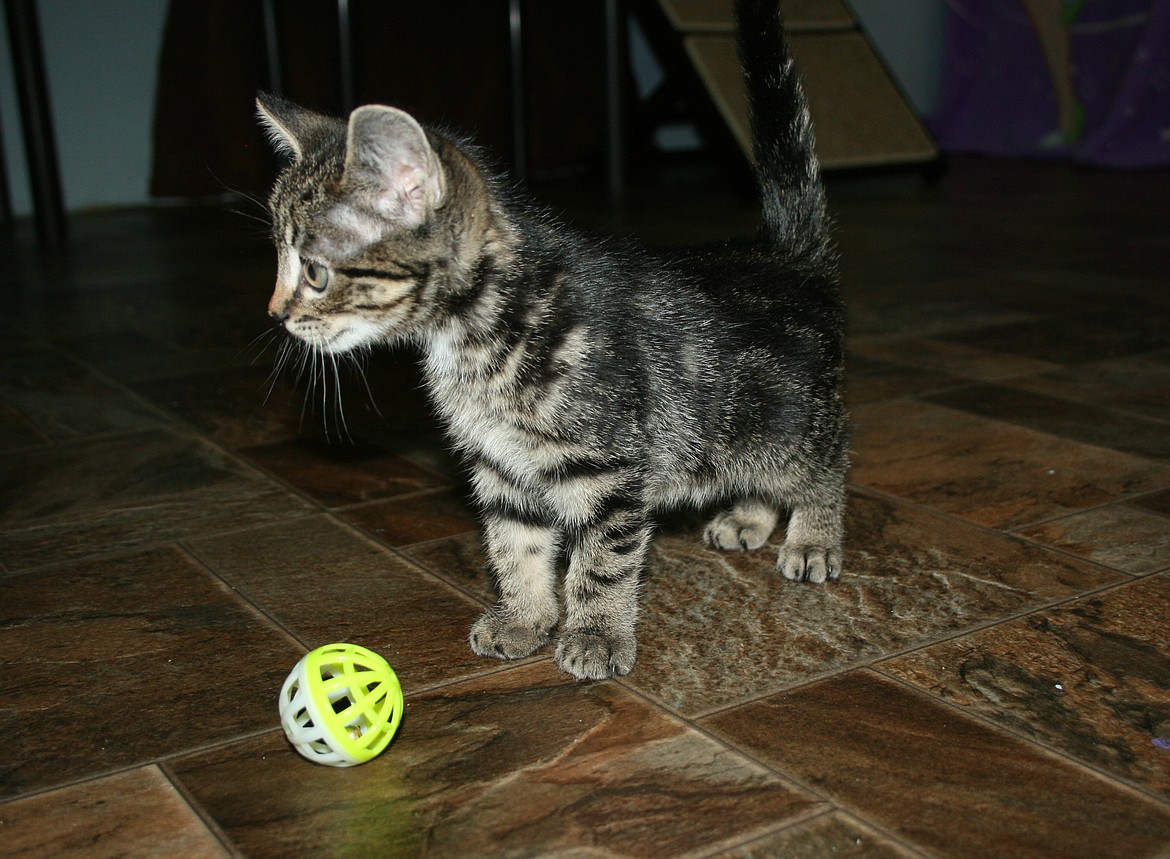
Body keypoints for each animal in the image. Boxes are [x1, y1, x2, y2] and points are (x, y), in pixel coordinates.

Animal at [258, 0, 851, 683]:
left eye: (315, 272)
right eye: (279, 261)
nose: (276, 314)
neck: (484, 334)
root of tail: (787, 256)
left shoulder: (611, 469)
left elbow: (602, 562)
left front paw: (595, 635)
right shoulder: (500, 468)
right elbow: (515, 546)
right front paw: (523, 617)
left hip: (787, 421)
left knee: (827, 459)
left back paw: (812, 538)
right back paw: (748, 517)